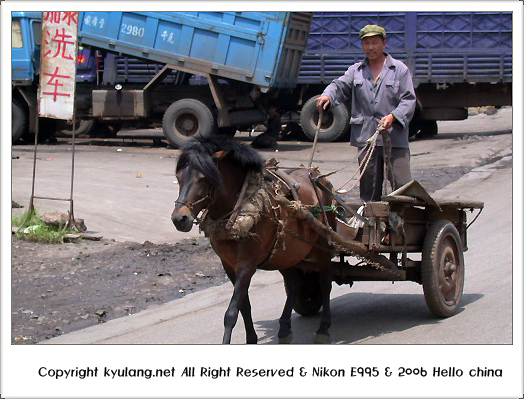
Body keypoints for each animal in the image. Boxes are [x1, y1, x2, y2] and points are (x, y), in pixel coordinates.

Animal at [172, 135, 336, 344]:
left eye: (203, 178)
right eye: (179, 177)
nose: (179, 218)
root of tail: (317, 176)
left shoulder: (247, 265)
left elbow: (231, 312)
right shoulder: (229, 266)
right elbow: (244, 306)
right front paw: (251, 339)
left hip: (322, 246)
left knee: (325, 283)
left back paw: (324, 327)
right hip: (285, 253)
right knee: (293, 284)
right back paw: (284, 328)